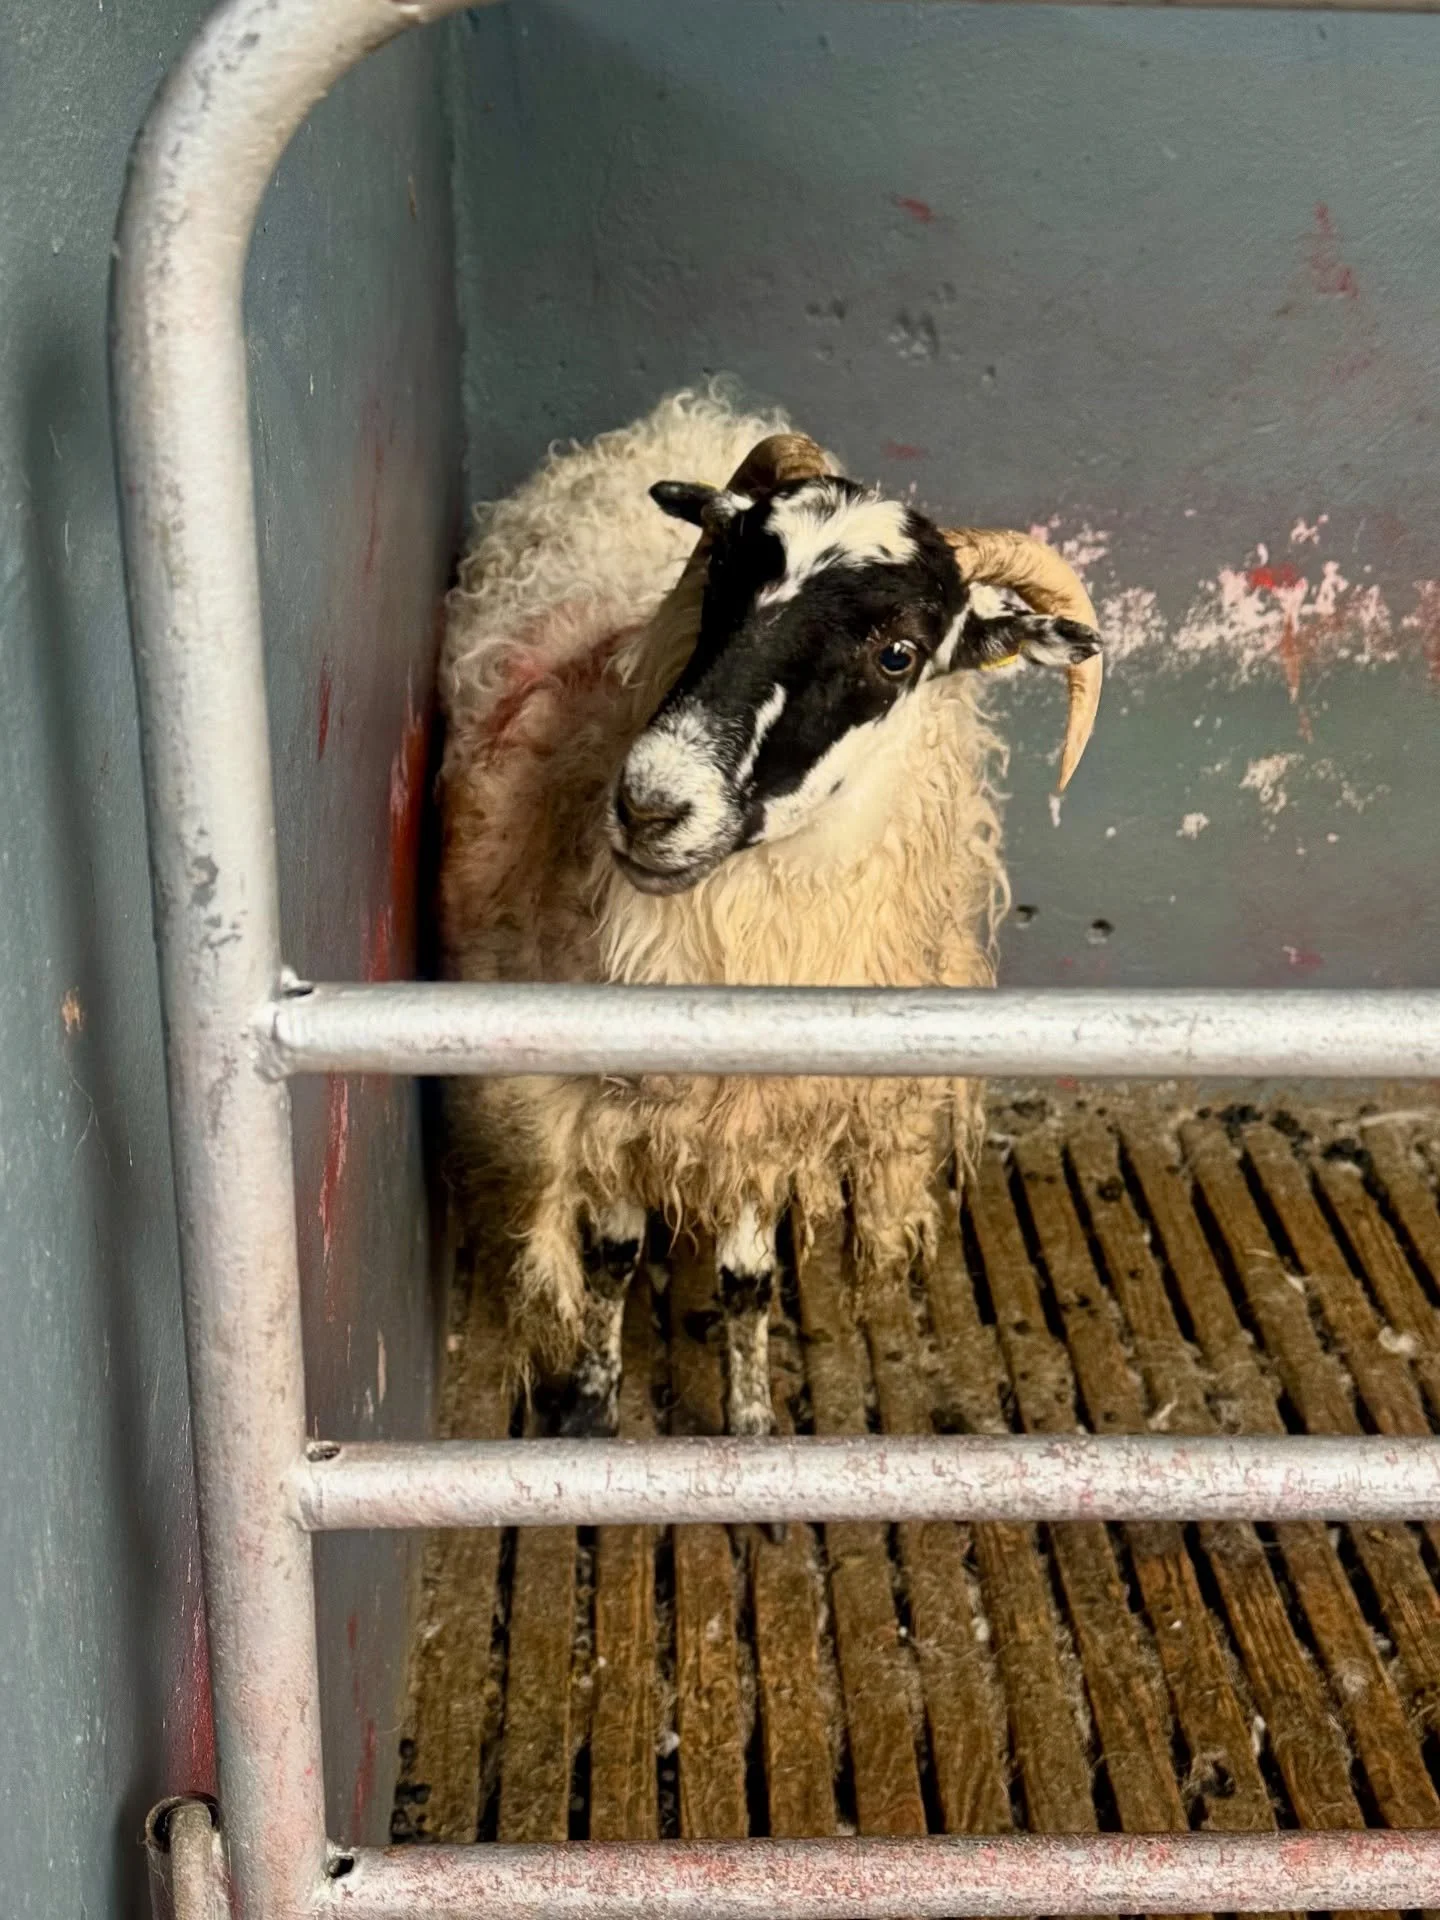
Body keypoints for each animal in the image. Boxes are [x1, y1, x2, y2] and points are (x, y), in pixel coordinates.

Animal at [439, 389, 1101, 1437]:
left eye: (898, 654)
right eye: (718, 573)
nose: (649, 806)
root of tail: (697, 406)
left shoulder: (761, 1103)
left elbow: (746, 1280)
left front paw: (750, 1423)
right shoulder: (600, 1101)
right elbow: (611, 1255)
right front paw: (590, 1402)